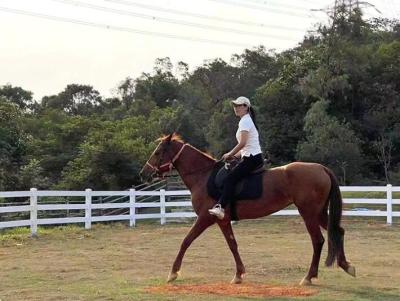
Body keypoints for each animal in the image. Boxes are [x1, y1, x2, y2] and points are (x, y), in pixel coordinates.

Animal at [141, 133, 356, 284]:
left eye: (158, 152)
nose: (144, 173)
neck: (203, 176)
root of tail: (321, 168)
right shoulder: (223, 220)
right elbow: (232, 245)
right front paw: (239, 274)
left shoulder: (206, 218)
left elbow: (186, 241)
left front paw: (173, 273)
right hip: (319, 212)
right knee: (338, 231)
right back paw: (346, 266)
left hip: (308, 213)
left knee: (318, 240)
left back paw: (309, 277)